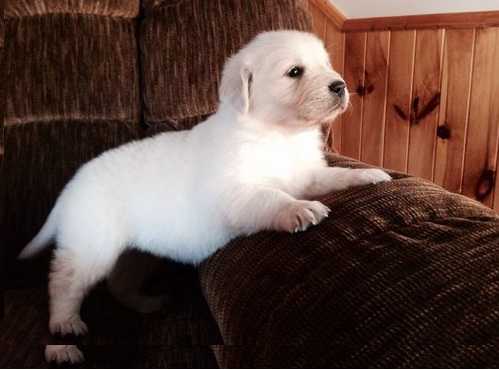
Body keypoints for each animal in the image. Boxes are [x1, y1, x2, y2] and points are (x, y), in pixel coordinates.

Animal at [18, 30, 390, 362]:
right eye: (295, 71)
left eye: (325, 64)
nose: (340, 85)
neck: (276, 134)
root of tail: (72, 185)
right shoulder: (236, 194)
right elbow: (270, 197)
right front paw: (298, 209)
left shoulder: (306, 174)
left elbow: (333, 176)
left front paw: (368, 175)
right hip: (91, 243)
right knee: (64, 281)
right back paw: (65, 328)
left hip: (136, 253)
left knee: (119, 282)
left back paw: (146, 303)